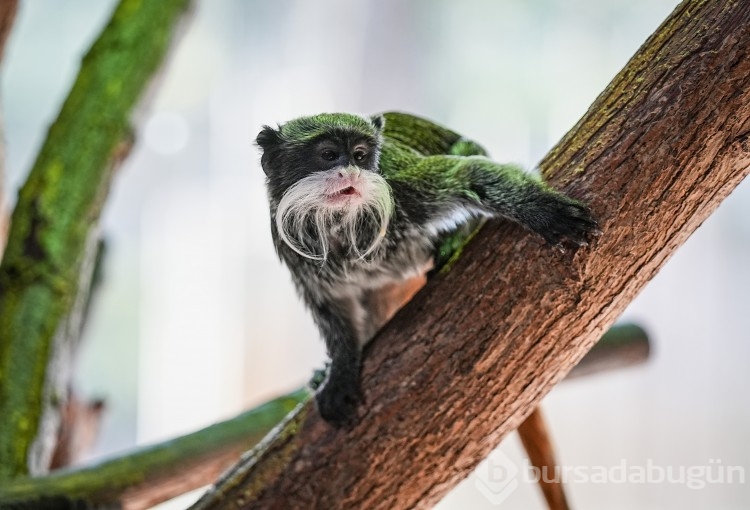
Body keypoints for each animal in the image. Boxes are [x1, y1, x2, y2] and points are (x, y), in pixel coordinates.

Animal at [258, 111, 600, 426]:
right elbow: (331, 308)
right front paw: (339, 369)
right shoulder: (298, 256)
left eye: (360, 156)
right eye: (328, 155)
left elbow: (466, 171)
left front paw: (543, 211)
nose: (352, 173)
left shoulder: (400, 189)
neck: (341, 225)